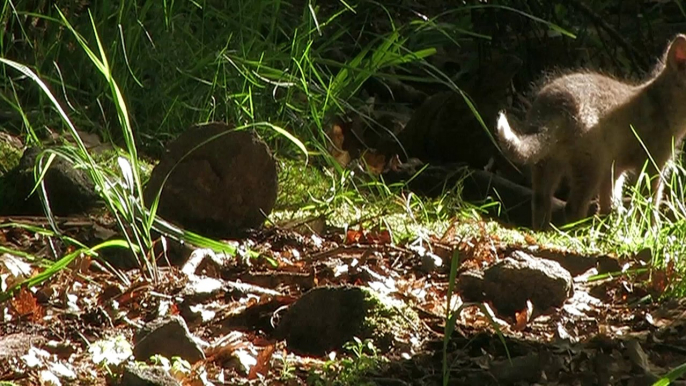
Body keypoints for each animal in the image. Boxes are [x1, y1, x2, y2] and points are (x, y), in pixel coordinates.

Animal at [498, 34, 686, 229]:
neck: (663, 106)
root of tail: (556, 104)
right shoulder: (653, 163)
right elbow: (649, 204)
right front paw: (650, 231)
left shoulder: (615, 168)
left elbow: (609, 205)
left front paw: (612, 229)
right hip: (592, 166)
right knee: (572, 208)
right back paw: (577, 234)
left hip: (546, 163)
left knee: (540, 201)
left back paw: (543, 231)